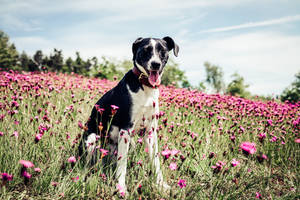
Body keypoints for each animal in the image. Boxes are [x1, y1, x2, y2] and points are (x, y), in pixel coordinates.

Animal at [78, 36, 179, 195]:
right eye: (145, 50)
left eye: (162, 51)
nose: (155, 64)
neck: (145, 87)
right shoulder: (125, 128)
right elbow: (122, 163)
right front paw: (121, 188)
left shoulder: (150, 131)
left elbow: (155, 161)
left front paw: (161, 184)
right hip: (92, 139)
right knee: (86, 164)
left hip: (129, 143)